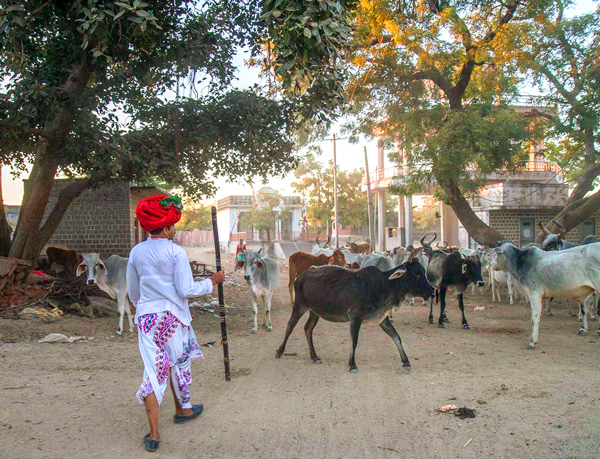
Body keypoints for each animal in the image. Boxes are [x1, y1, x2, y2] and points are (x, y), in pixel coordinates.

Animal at [274, 255, 434, 374]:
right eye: (416, 272)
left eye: (423, 271)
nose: (432, 292)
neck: (384, 285)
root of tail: (303, 274)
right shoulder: (356, 317)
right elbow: (354, 341)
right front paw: (352, 364)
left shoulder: (382, 319)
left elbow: (396, 337)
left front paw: (406, 362)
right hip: (300, 306)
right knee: (290, 325)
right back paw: (279, 351)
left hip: (315, 312)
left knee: (308, 329)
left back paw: (314, 357)